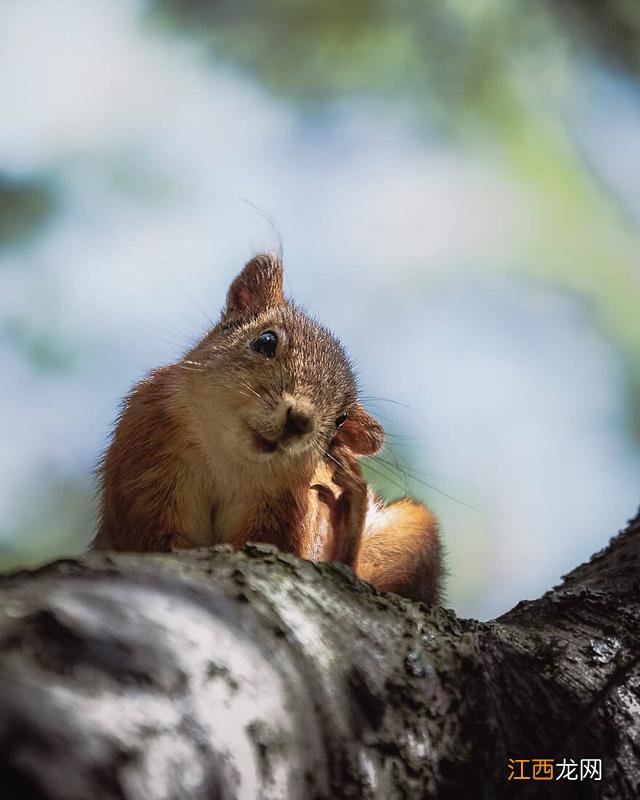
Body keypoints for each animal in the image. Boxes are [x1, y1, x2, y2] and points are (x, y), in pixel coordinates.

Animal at [92, 256, 442, 608]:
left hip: (415, 529)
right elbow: (151, 537)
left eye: (341, 418)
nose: (300, 420)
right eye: (266, 340)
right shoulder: (148, 461)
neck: (227, 459)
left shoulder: (282, 508)